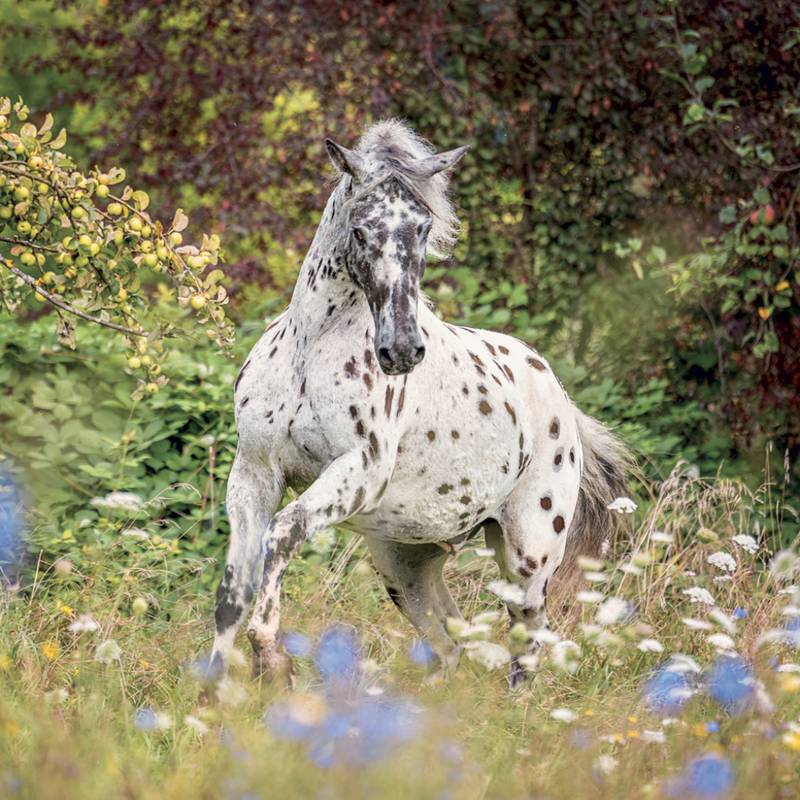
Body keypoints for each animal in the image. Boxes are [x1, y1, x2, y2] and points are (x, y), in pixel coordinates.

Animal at [209, 119, 628, 687]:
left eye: (424, 228)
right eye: (360, 230)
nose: (402, 350)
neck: (310, 350)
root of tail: (559, 398)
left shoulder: (359, 471)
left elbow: (285, 532)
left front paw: (270, 656)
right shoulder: (254, 473)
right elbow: (232, 594)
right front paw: (212, 689)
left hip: (527, 557)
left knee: (528, 642)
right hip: (404, 564)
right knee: (452, 642)